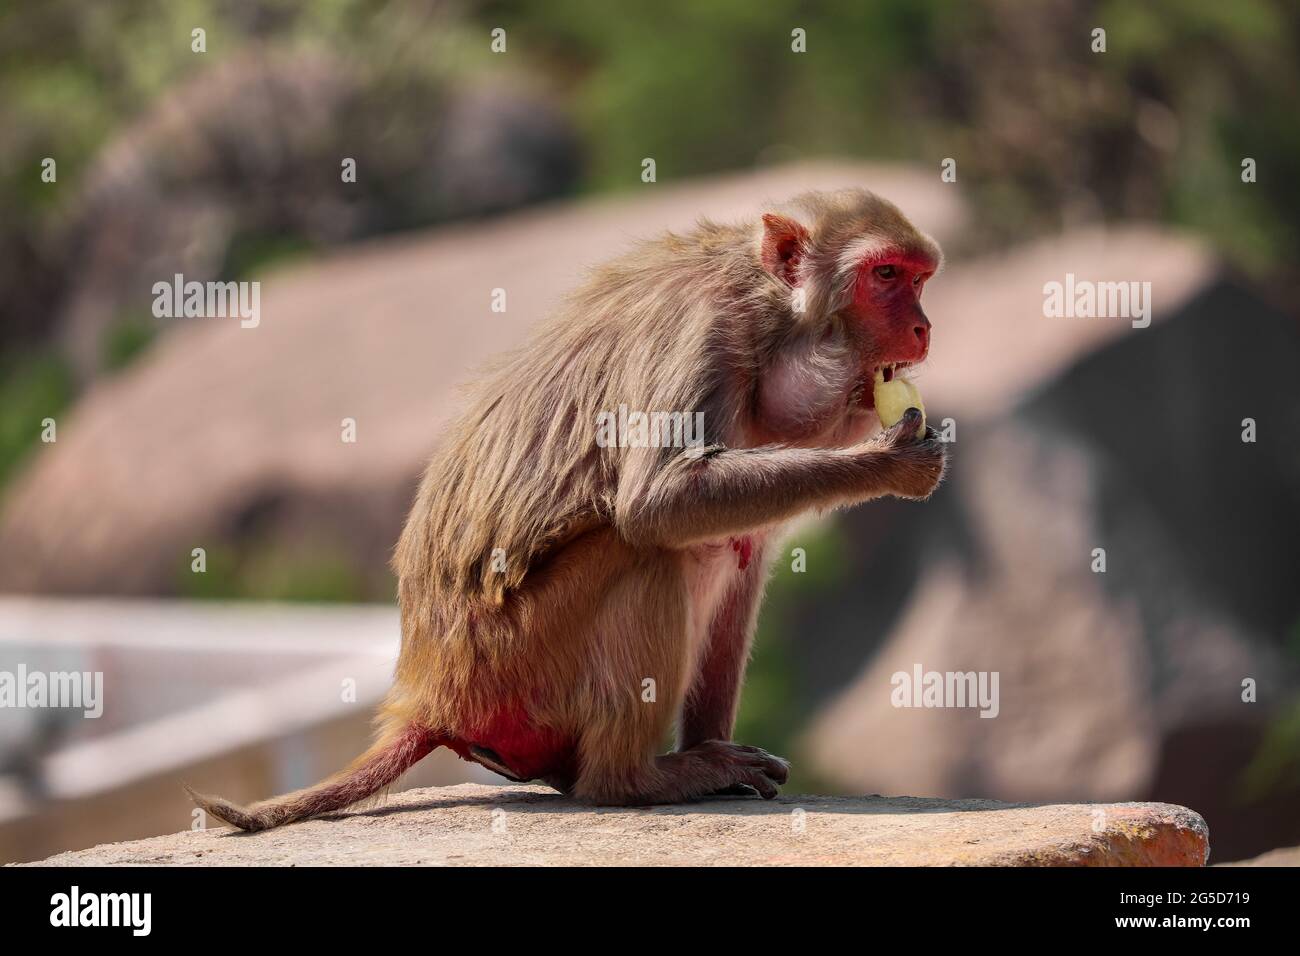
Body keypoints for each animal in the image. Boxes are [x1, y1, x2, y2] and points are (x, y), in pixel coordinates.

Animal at [185, 187, 946, 832]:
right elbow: (661, 502)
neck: (767, 323)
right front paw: (889, 462)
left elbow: (744, 557)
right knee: (647, 552)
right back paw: (632, 780)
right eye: (885, 275)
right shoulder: (701, 335)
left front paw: (720, 749)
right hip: (517, 660)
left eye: (919, 278)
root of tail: (429, 697)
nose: (923, 328)